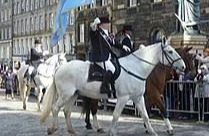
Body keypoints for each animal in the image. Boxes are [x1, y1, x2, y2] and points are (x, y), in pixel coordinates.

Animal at [40, 40, 185, 135]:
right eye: (170, 51)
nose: (183, 66)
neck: (136, 67)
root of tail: (60, 68)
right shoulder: (124, 97)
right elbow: (116, 115)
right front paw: (112, 132)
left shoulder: (138, 98)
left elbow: (145, 115)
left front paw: (152, 131)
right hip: (66, 95)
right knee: (55, 108)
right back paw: (53, 129)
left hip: (73, 95)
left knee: (67, 111)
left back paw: (72, 130)